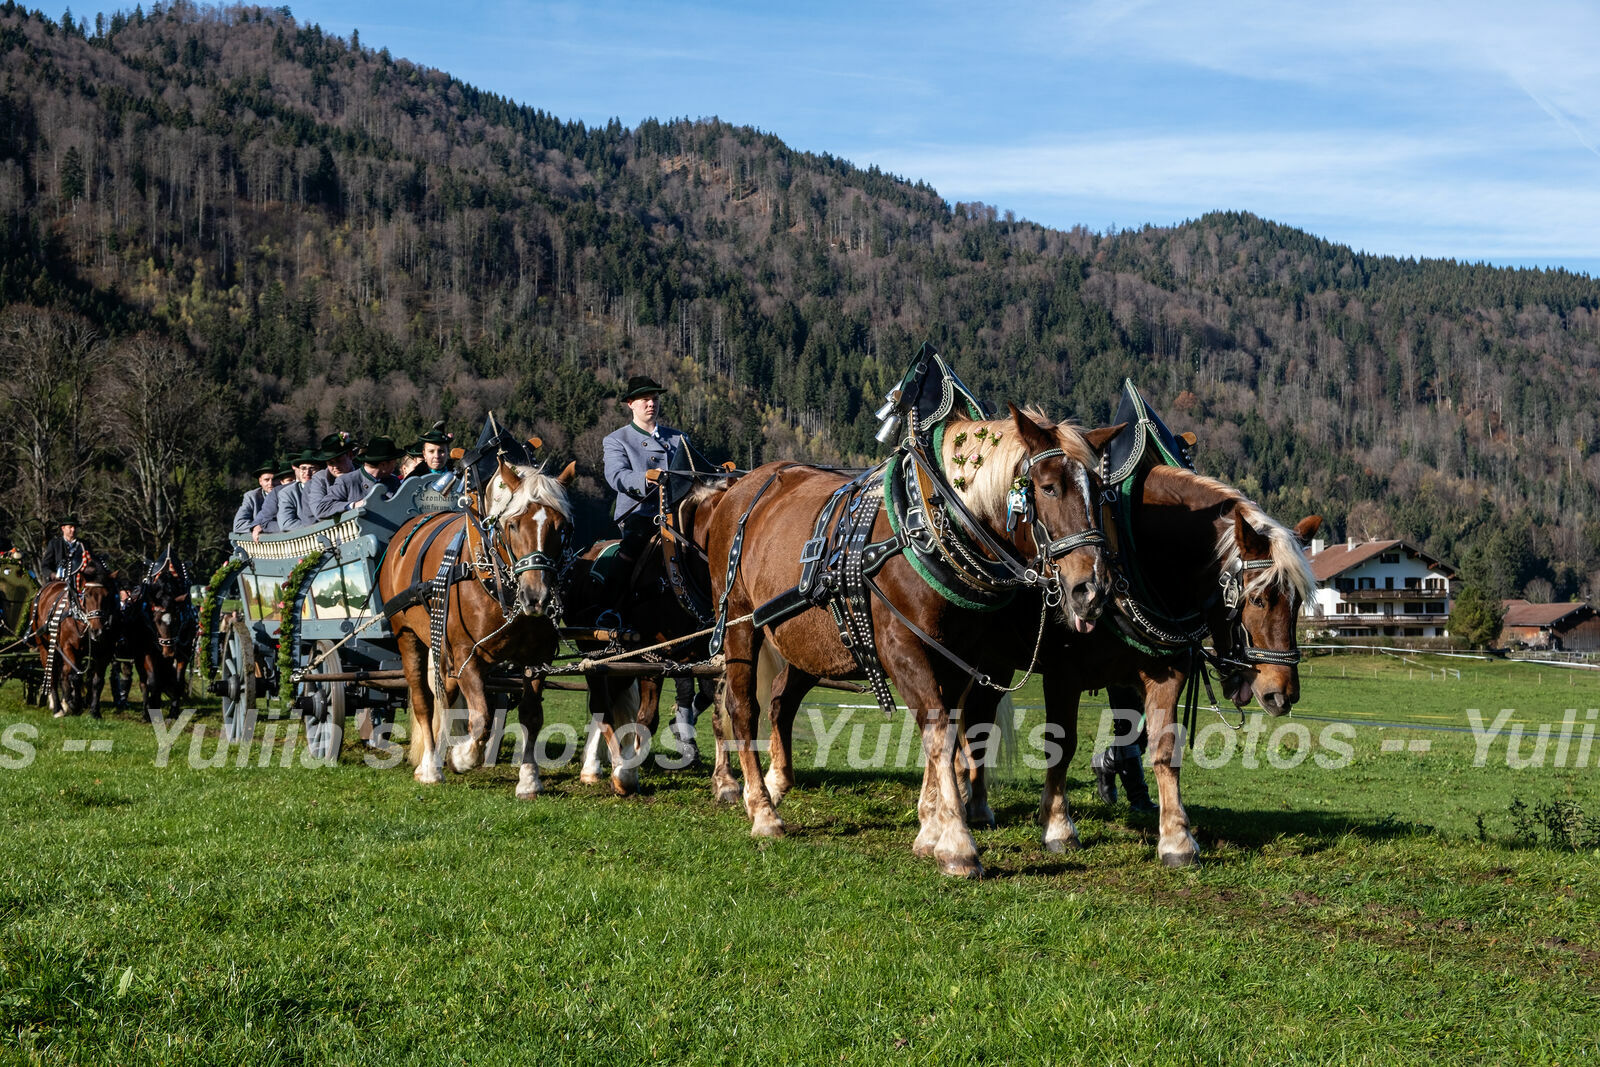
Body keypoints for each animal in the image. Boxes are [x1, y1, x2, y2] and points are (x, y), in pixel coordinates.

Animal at [31, 559, 116, 716]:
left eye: (107, 596)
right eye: (87, 595)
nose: (97, 631)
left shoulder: (104, 653)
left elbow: (97, 681)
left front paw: (94, 711)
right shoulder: (68, 648)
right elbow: (75, 676)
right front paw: (74, 704)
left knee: (63, 674)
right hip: (45, 646)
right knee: (53, 675)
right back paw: (58, 708)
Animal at [374, 454, 576, 796]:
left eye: (561, 527)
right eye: (512, 524)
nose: (537, 597)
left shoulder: (538, 659)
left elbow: (532, 716)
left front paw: (529, 778)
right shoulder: (468, 655)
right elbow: (481, 718)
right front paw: (462, 757)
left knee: (444, 697)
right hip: (408, 635)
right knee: (424, 701)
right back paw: (431, 766)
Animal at [563, 479, 736, 796]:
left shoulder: (712, 660)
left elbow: (720, 713)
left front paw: (726, 782)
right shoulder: (650, 657)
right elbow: (647, 719)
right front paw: (625, 774)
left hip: (616, 659)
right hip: (592, 650)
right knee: (601, 706)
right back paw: (600, 765)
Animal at [707, 404, 1120, 883]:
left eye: (1100, 494)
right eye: (1049, 487)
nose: (1092, 589)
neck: (927, 528)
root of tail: (739, 489)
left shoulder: (959, 655)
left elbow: (948, 727)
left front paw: (930, 828)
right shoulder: (901, 648)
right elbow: (938, 730)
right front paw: (957, 844)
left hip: (805, 640)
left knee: (780, 700)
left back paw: (777, 783)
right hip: (739, 623)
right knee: (742, 708)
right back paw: (761, 810)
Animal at [960, 467, 1312, 870]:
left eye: (1297, 603)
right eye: (1258, 599)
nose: (1283, 693)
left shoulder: (1166, 673)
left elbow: (1164, 748)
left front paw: (1177, 838)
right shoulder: (1063, 676)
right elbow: (1061, 745)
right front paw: (1058, 827)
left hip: (994, 664)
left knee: (976, 725)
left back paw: (976, 805)